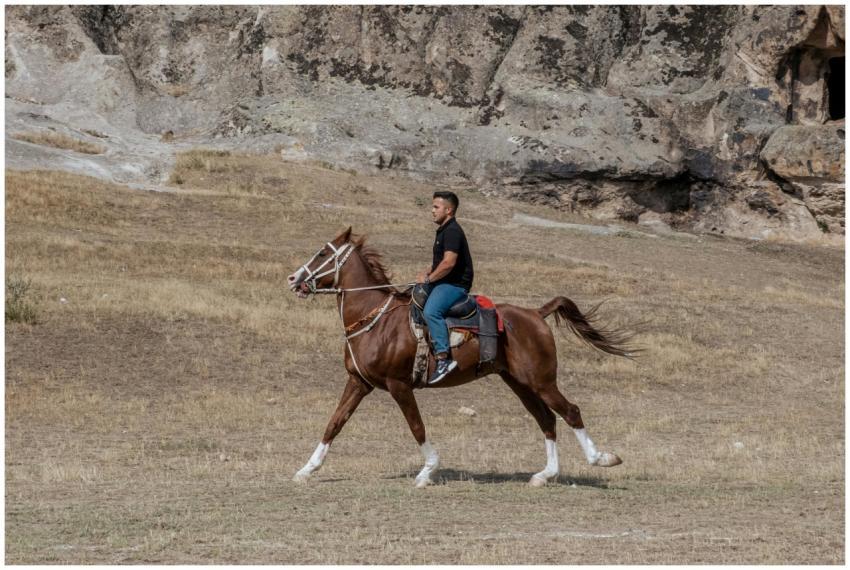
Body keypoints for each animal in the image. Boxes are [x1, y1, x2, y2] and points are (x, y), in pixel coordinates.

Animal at [287, 227, 636, 488]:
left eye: (322, 254)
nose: (293, 279)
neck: (376, 319)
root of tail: (536, 314)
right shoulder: (358, 382)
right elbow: (334, 423)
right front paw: (306, 469)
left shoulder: (399, 385)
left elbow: (417, 427)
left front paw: (428, 471)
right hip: (520, 383)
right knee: (547, 418)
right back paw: (545, 475)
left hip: (541, 380)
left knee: (570, 411)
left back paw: (602, 459)